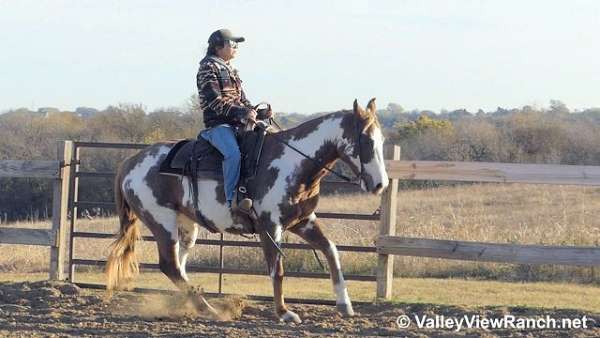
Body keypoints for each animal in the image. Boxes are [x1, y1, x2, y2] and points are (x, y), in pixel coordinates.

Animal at [106, 97, 390, 322]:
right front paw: (284, 313)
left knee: (179, 264)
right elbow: (277, 270)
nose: (381, 184)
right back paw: (210, 309)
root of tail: (131, 162)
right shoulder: (269, 226)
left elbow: (331, 251)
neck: (293, 163)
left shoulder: (303, 220)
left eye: (381, 140)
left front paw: (345, 304)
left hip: (186, 224)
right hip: (161, 221)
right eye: (366, 140)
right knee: (170, 266)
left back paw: (192, 303)